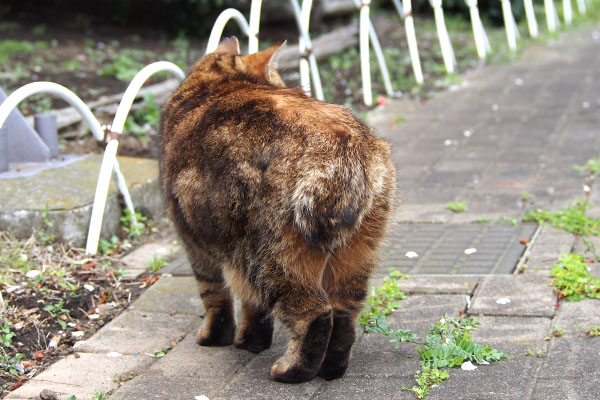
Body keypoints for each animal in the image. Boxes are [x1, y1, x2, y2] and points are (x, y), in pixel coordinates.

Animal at [157, 37, 396, 384]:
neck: (216, 84)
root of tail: (339, 142)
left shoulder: (195, 245)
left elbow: (215, 296)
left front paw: (217, 338)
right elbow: (251, 306)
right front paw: (251, 342)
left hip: (268, 260)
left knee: (315, 315)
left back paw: (292, 371)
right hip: (352, 258)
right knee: (343, 316)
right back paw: (331, 370)